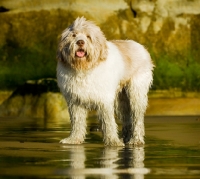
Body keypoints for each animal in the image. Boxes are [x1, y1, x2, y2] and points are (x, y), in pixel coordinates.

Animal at [56, 16, 153, 146]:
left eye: (88, 36)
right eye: (73, 35)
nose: (80, 42)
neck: (84, 69)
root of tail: (139, 46)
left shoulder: (104, 100)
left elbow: (108, 122)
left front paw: (113, 142)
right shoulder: (75, 100)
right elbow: (77, 122)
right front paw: (74, 139)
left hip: (136, 93)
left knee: (137, 118)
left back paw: (135, 140)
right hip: (121, 99)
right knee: (127, 118)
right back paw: (126, 138)